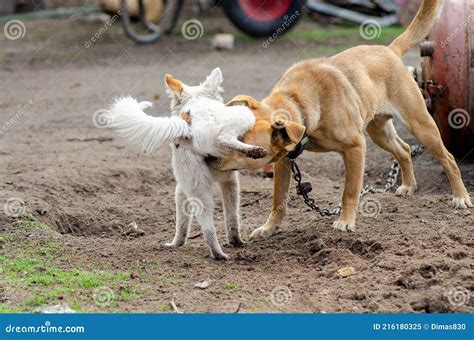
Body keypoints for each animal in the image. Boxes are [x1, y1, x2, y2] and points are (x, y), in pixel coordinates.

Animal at [104, 69, 266, 260]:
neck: (195, 100)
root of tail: (186, 121)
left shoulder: (181, 190)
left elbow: (182, 223)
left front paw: (177, 243)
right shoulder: (230, 182)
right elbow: (232, 218)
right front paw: (237, 242)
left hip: (197, 189)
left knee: (207, 228)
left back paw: (217, 254)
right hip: (243, 113)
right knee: (225, 138)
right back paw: (254, 150)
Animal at [206, 0, 472, 239]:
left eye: (249, 149)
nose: (209, 159)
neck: (298, 102)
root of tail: (389, 50)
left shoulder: (355, 148)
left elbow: (350, 191)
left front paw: (345, 222)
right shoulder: (283, 162)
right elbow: (278, 200)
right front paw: (269, 228)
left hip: (421, 126)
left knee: (448, 159)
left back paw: (461, 197)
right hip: (379, 132)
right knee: (404, 150)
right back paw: (408, 185)